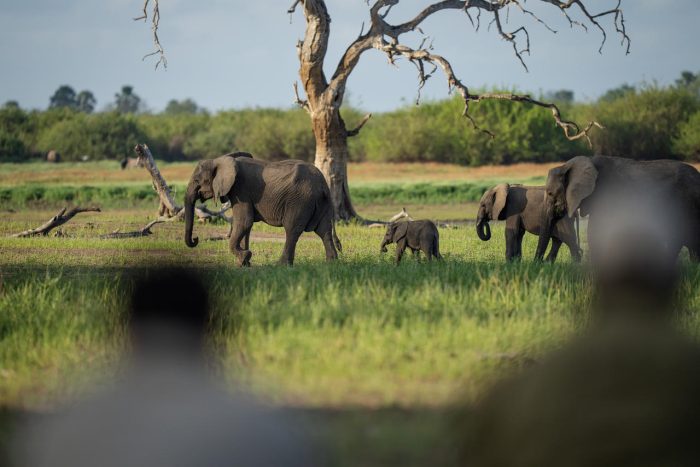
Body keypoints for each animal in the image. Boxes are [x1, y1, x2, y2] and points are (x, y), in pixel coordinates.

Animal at [185, 154, 340, 266]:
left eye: (197, 181)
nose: (196, 239)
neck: (219, 160)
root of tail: (323, 184)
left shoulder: (241, 191)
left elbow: (244, 222)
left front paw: (245, 257)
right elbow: (245, 226)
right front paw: (244, 263)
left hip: (300, 200)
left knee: (292, 229)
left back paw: (281, 265)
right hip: (320, 202)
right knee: (324, 230)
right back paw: (331, 263)